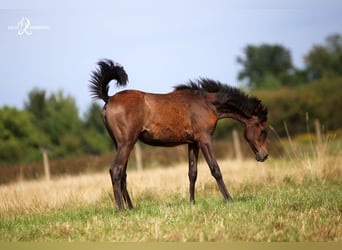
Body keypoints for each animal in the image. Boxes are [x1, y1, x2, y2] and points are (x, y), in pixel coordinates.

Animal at [89, 59, 268, 211]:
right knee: (116, 171)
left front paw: (192, 202)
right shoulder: (204, 139)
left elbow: (192, 173)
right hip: (126, 144)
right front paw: (229, 199)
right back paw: (122, 210)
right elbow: (215, 169)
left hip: (121, 145)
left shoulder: (193, 143)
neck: (206, 103)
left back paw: (131, 208)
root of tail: (109, 99)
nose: (264, 155)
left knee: (123, 175)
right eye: (263, 130)